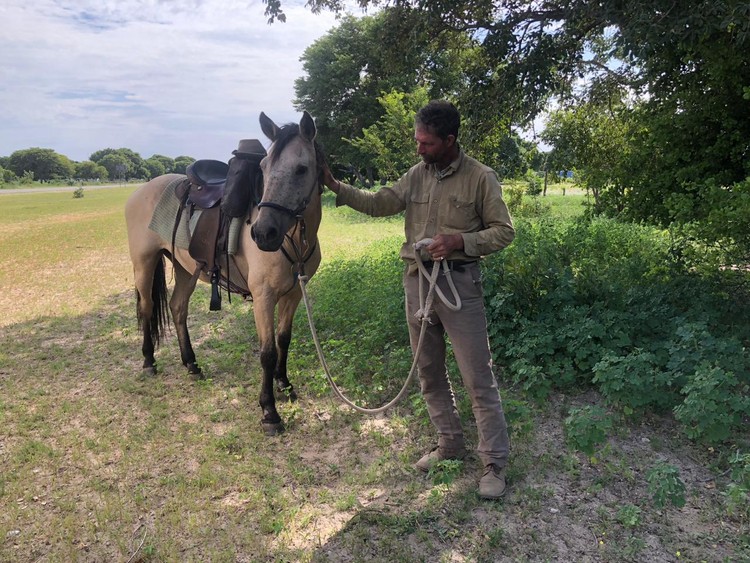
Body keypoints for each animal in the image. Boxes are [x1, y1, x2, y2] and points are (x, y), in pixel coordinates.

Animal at [125, 112, 324, 434]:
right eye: (264, 168)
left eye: (302, 168)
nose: (263, 233)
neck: (293, 239)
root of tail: (143, 189)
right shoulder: (263, 297)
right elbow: (267, 351)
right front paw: (269, 410)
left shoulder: (294, 294)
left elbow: (284, 339)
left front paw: (284, 383)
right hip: (144, 263)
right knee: (146, 308)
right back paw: (148, 361)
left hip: (186, 269)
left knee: (177, 308)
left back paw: (191, 364)